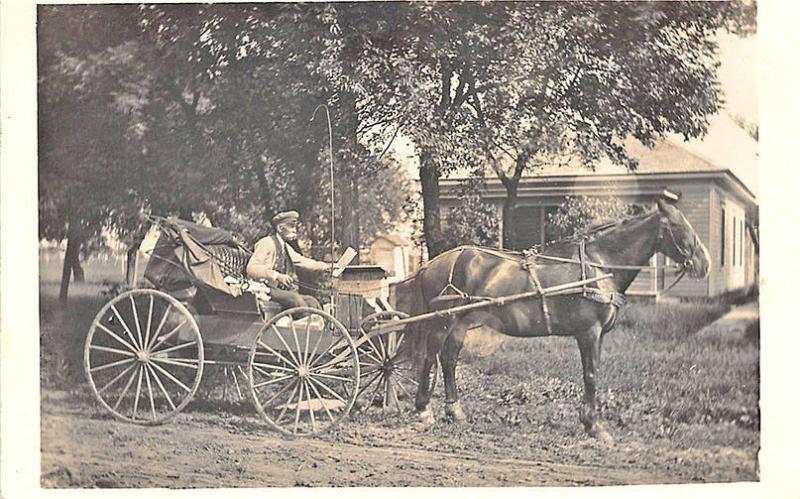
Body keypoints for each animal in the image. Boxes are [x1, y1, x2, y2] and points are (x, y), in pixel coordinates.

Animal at [390, 199, 708, 442]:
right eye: (678, 226)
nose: (704, 264)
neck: (599, 264)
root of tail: (433, 264)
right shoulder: (589, 332)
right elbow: (591, 375)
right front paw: (594, 426)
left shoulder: (598, 335)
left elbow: (594, 374)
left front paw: (591, 422)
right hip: (442, 322)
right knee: (430, 358)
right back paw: (424, 410)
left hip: (461, 324)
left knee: (449, 360)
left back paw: (454, 411)